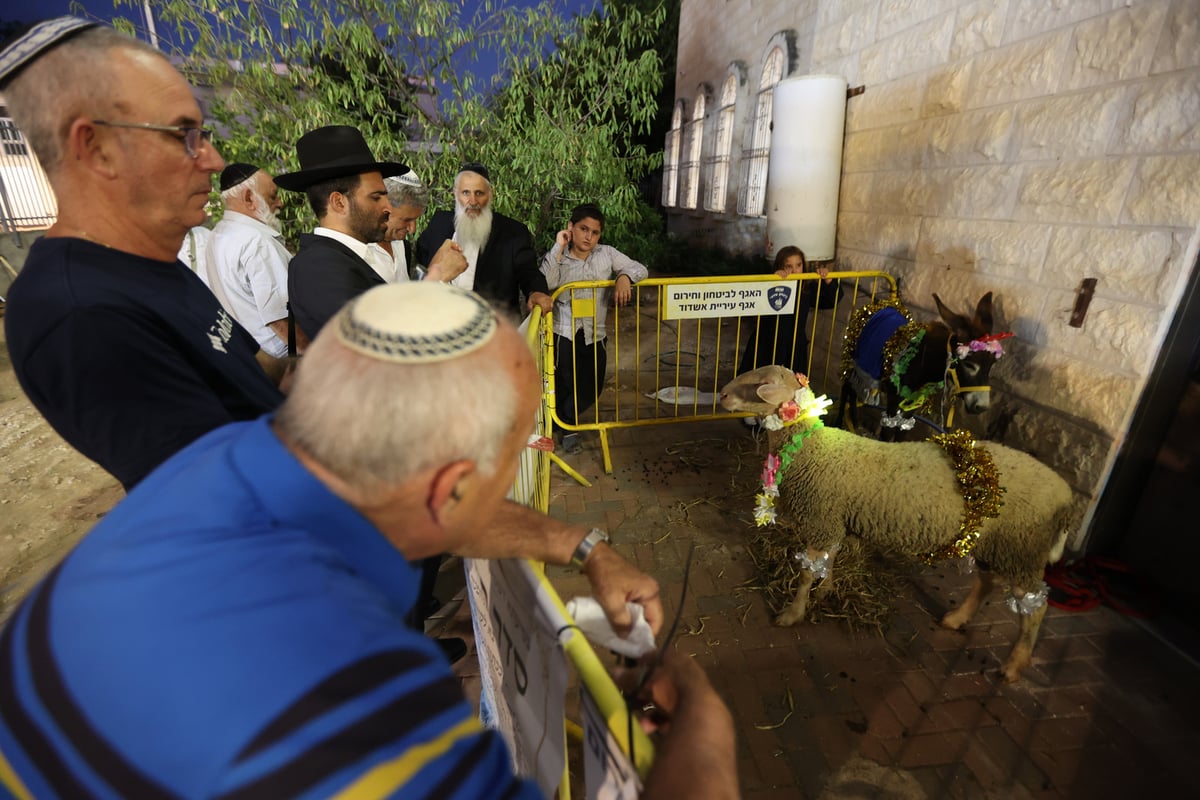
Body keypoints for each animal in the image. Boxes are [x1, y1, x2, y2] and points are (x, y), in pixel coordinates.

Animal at [715, 367, 1075, 686]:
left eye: (760, 383)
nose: (722, 395)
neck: (812, 448)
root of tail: (1066, 496)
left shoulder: (821, 518)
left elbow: (805, 574)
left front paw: (792, 614)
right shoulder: (833, 519)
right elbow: (828, 561)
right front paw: (826, 589)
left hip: (1022, 548)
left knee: (1034, 609)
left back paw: (1014, 665)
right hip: (995, 542)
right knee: (986, 583)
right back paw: (957, 619)